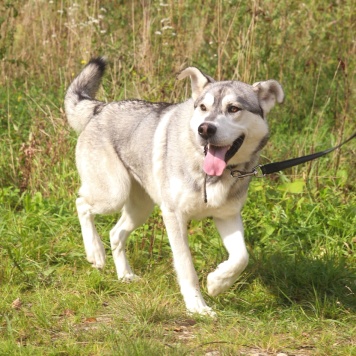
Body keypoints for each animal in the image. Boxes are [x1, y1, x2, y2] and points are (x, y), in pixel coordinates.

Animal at [64, 57, 284, 314]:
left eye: (233, 109)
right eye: (203, 108)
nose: (205, 129)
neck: (210, 174)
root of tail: (100, 108)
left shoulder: (227, 216)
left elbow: (241, 257)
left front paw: (217, 283)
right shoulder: (174, 216)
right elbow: (186, 267)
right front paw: (197, 306)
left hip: (140, 208)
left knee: (115, 233)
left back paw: (125, 275)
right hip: (113, 194)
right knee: (81, 204)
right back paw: (95, 252)